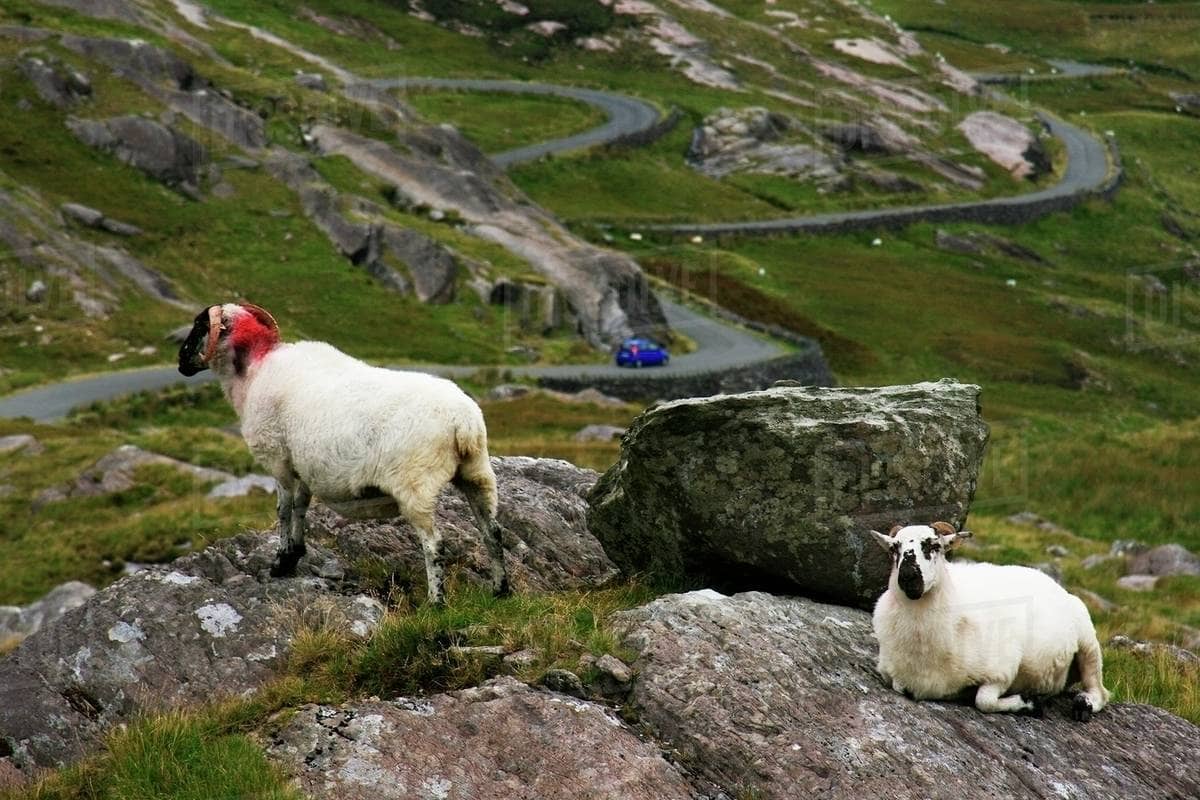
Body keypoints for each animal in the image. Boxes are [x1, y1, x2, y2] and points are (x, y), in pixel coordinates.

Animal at [177, 302, 509, 605]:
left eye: (200, 325)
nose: (180, 362)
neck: (253, 371)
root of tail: (463, 421)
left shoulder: (278, 459)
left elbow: (283, 510)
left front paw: (281, 563)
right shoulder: (303, 464)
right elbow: (301, 505)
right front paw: (296, 552)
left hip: (417, 485)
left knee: (435, 545)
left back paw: (436, 602)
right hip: (476, 473)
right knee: (492, 532)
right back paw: (501, 590)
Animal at [870, 522, 1109, 721]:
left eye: (934, 545)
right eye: (894, 549)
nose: (908, 577)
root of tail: (1050, 580)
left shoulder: (1002, 671)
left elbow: (984, 702)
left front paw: (1029, 703)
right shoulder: (892, 675)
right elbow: (900, 687)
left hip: (1089, 642)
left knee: (1100, 691)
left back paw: (1083, 706)